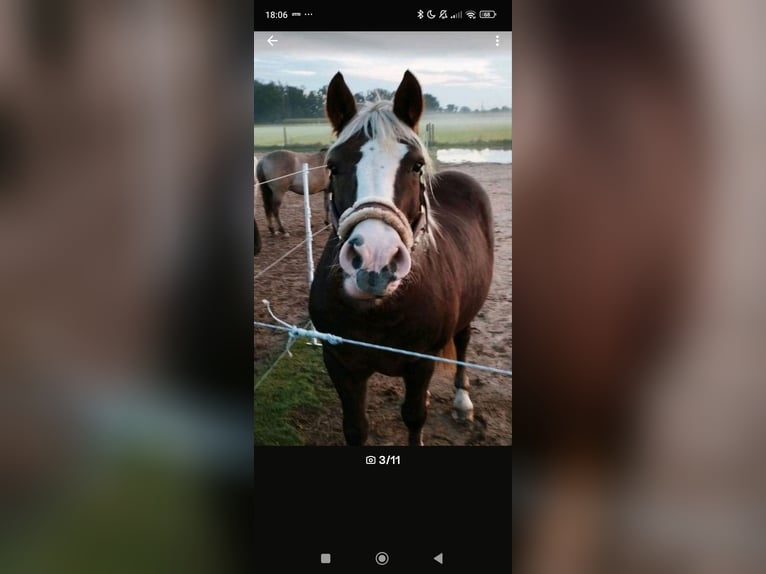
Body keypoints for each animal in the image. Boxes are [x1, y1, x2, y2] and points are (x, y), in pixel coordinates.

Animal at [310, 72, 498, 448]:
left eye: (416, 165)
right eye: (333, 166)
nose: (374, 261)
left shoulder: (420, 362)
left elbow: (414, 417)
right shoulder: (339, 361)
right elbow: (355, 428)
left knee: (463, 343)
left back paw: (462, 400)